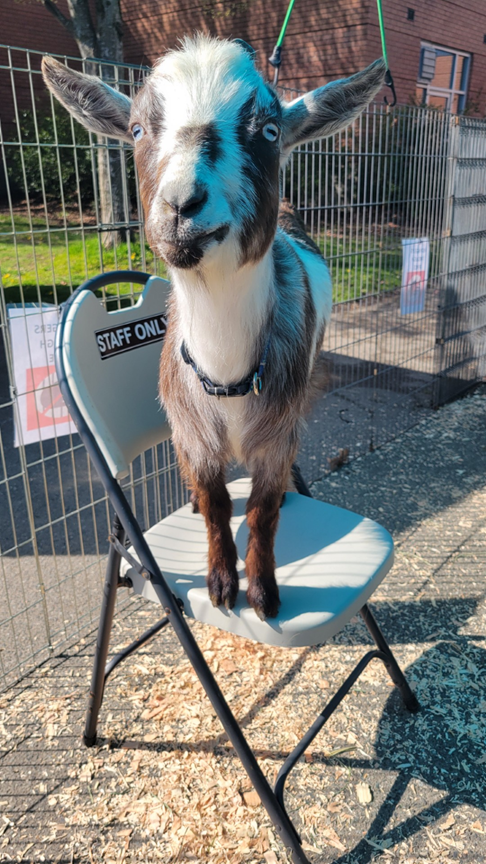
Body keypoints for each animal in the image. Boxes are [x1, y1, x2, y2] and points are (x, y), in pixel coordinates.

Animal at [42, 38, 384, 620]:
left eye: (268, 131)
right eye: (137, 128)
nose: (181, 204)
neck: (226, 375)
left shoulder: (277, 436)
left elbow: (263, 511)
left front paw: (263, 590)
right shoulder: (191, 437)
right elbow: (216, 503)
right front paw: (221, 582)